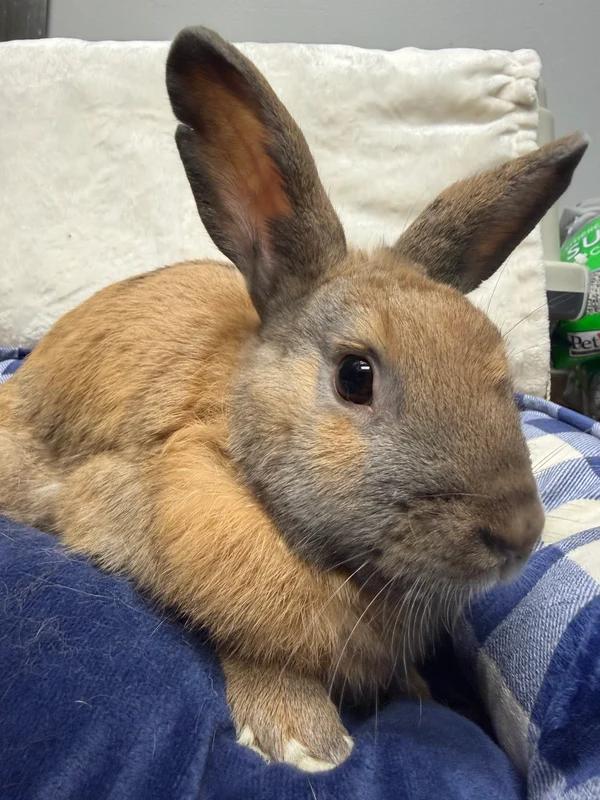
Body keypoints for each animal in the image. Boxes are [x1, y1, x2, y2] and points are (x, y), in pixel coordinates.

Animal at [0, 25, 587, 772]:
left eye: (497, 364)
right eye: (355, 377)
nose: (517, 534)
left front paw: (410, 686)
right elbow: (250, 641)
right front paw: (305, 742)